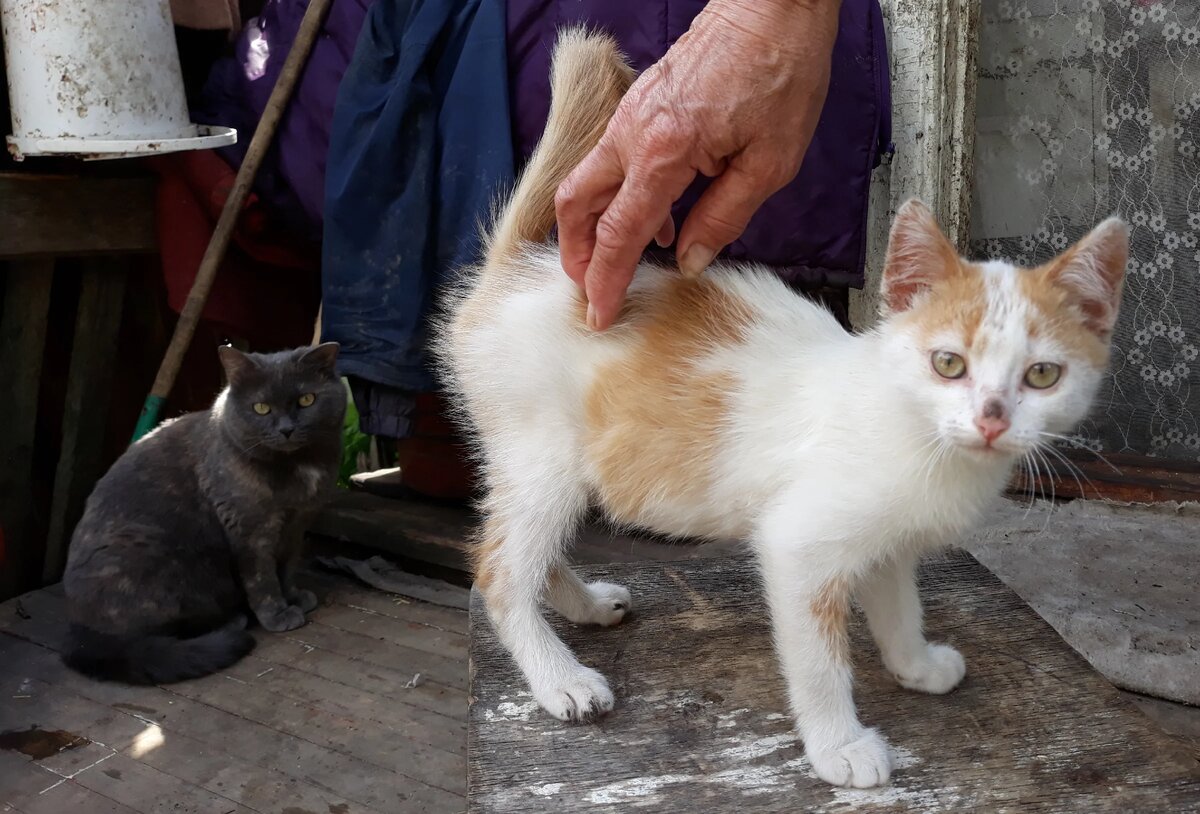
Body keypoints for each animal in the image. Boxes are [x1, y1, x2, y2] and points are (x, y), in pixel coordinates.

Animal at [62, 340, 348, 686]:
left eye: (307, 399)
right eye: (261, 408)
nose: (286, 429)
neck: (297, 469)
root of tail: (78, 632)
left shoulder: (296, 527)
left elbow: (287, 569)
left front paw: (294, 597)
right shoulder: (250, 532)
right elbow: (263, 579)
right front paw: (278, 614)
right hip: (164, 560)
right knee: (158, 632)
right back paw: (233, 622)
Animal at [436, 30, 1128, 792]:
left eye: (1043, 375)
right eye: (948, 363)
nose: (993, 416)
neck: (918, 438)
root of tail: (518, 270)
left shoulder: (887, 540)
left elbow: (898, 602)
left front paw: (915, 664)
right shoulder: (798, 546)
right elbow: (821, 662)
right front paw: (840, 746)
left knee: (532, 554)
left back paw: (583, 605)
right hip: (543, 456)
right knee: (500, 571)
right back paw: (560, 678)